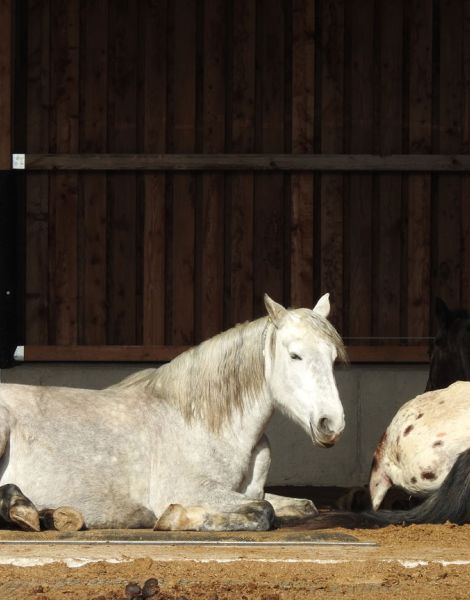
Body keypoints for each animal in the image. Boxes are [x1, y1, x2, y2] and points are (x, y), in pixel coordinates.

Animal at [0, 293, 347, 531]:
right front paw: (175, 517)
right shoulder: (192, 490)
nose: (331, 424)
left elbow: (303, 505)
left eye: (332, 358)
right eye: (295, 356)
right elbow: (263, 512)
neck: (202, 424)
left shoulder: (250, 491)